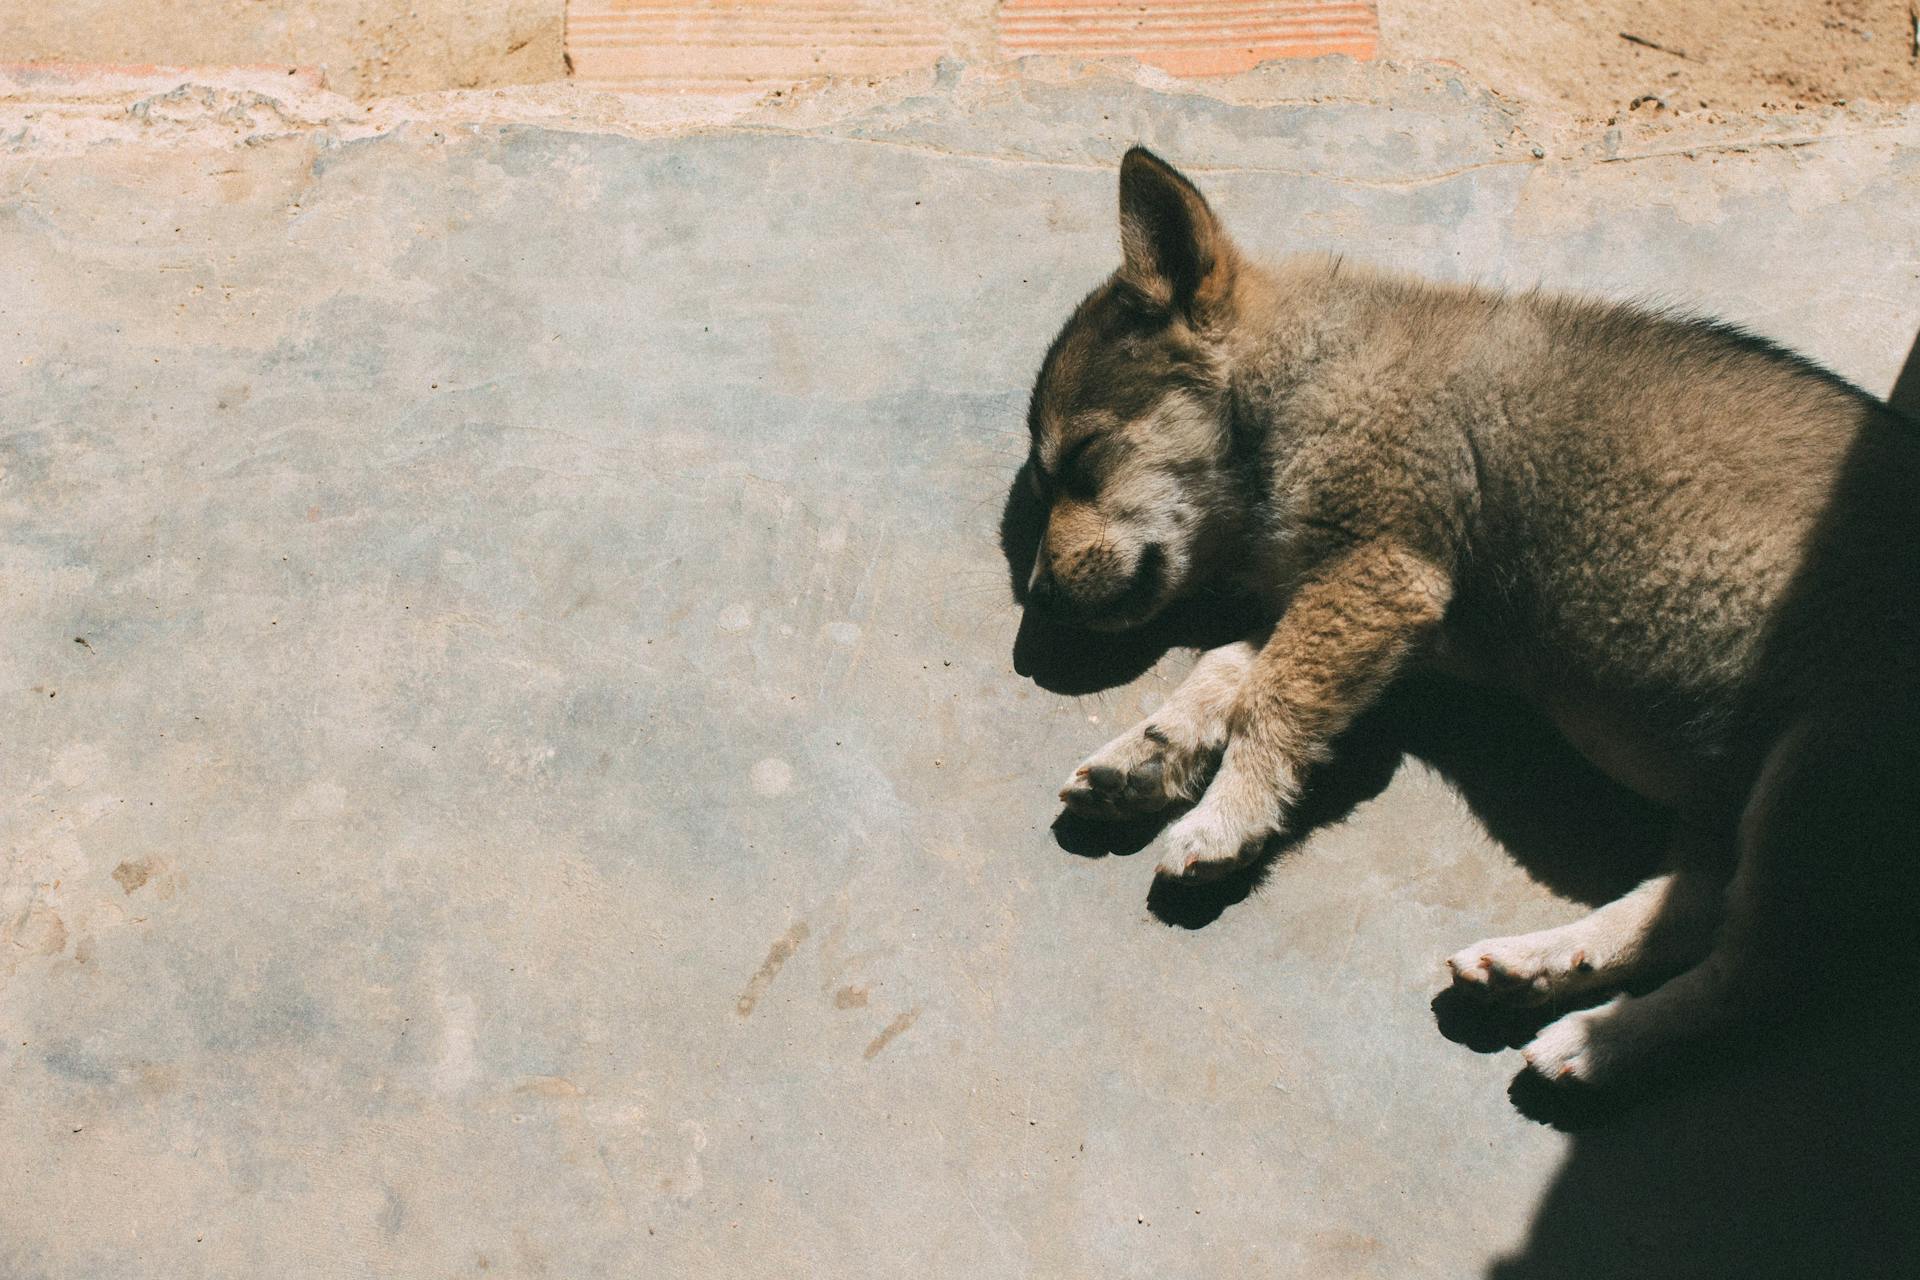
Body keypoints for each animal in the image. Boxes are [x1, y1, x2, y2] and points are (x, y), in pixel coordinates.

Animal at [1013, 144, 1912, 1090]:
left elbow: (1270, 697)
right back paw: (1541, 968)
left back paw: (1601, 1043)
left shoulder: (1380, 573)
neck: (1299, 379)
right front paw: (1151, 753)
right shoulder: (1349, 601)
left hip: (1820, 770)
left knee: (1759, 976)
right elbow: (1229, 666)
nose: (1038, 602)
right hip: (1750, 794)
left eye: (1083, 458)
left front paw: (1228, 816)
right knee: (1694, 908)